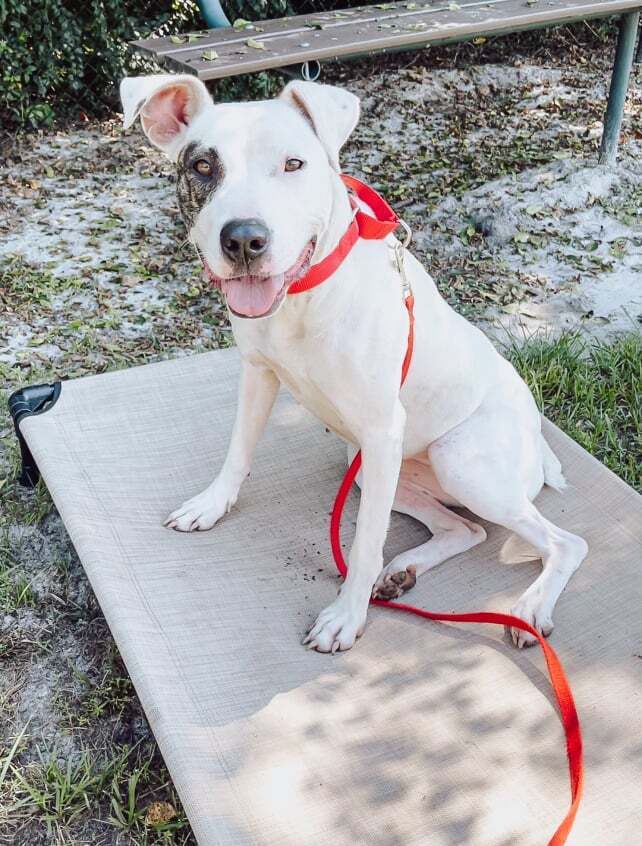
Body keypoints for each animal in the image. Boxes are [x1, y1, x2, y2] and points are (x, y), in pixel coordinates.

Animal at [122, 74, 588, 656]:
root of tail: (539, 448)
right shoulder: (258, 374)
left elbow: (365, 544)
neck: (303, 298)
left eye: (294, 164)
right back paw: (403, 572)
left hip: (459, 461)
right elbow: (238, 451)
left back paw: (527, 608)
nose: (245, 239)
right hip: (369, 469)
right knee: (467, 530)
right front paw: (212, 503)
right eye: (204, 166)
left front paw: (347, 616)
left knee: (565, 543)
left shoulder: (383, 429)